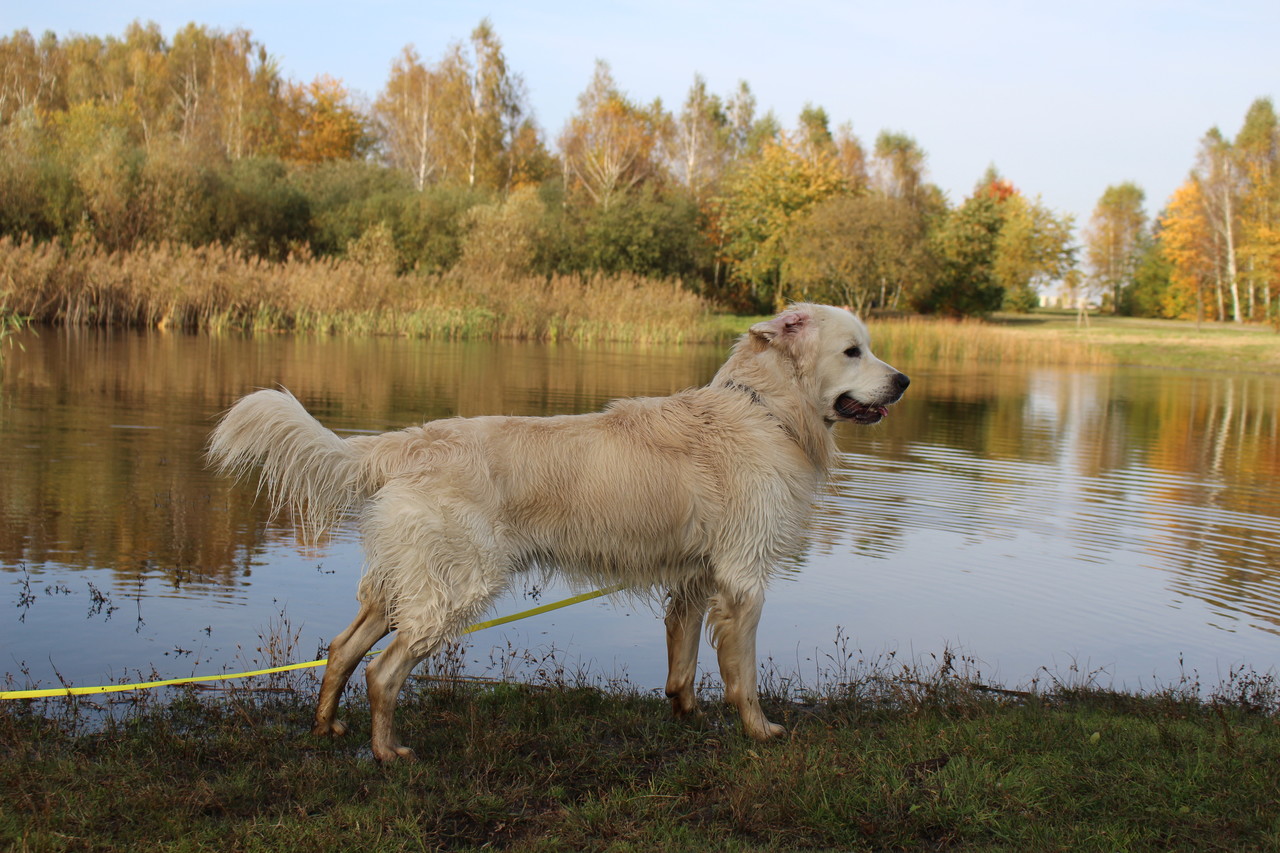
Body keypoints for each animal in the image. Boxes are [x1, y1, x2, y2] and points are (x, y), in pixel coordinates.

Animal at [208, 303, 909, 761]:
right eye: (853, 351)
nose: (902, 380)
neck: (764, 411)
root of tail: (408, 442)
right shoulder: (743, 580)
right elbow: (744, 675)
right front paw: (759, 732)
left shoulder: (694, 578)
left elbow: (682, 664)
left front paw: (686, 716)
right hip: (458, 585)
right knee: (382, 673)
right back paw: (389, 754)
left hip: (406, 580)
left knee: (340, 649)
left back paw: (327, 728)